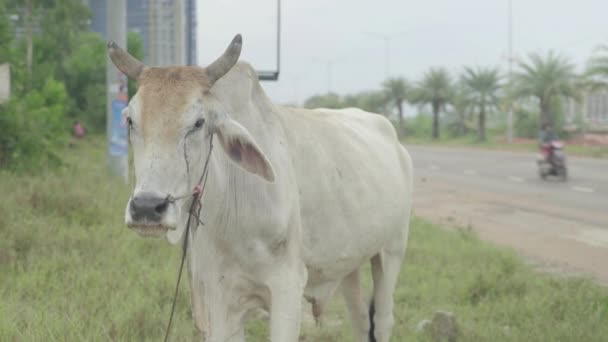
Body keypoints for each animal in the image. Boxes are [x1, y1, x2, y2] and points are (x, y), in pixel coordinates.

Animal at [108, 34, 414, 342]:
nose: (147, 207)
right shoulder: (220, 296)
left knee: (382, 321)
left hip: (392, 252)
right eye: (130, 120)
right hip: (349, 263)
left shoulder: (287, 287)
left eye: (198, 122)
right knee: (360, 320)